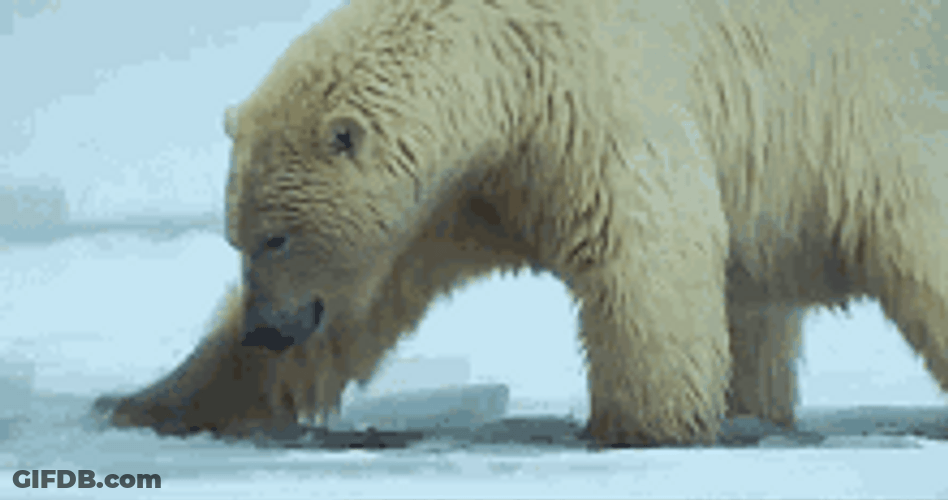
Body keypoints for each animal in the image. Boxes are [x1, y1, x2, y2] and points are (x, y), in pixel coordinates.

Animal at [96, 0, 948, 446]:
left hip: (870, 129)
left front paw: (639, 429)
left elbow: (646, 255)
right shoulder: (466, 190)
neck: (503, 55)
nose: (269, 327)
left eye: (275, 236)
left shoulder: (595, 103)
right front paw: (148, 403)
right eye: (236, 237)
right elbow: (362, 309)